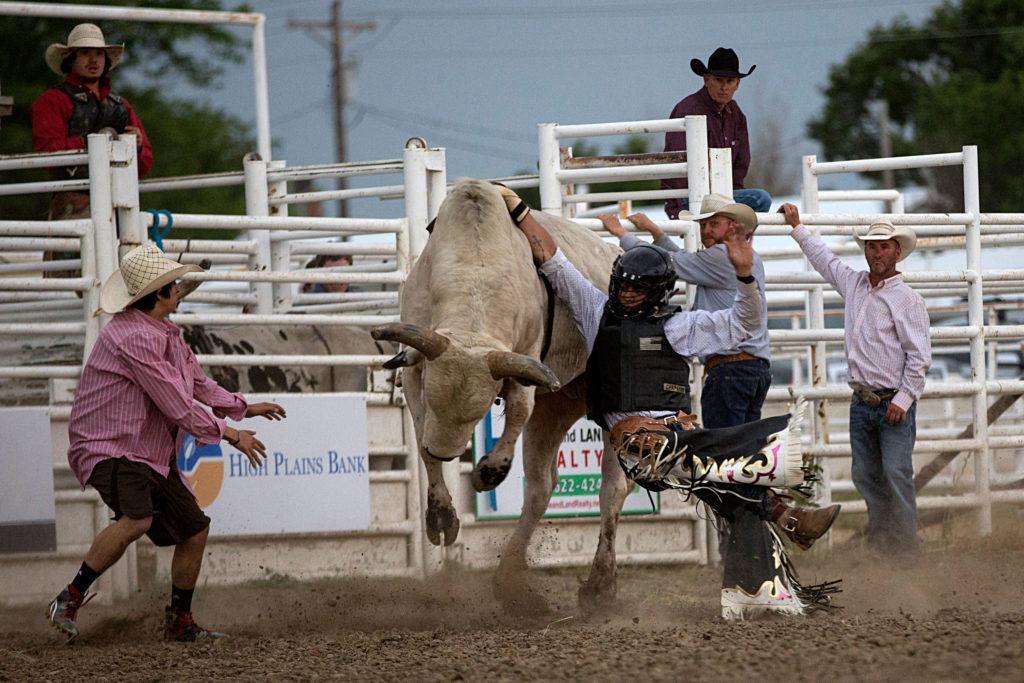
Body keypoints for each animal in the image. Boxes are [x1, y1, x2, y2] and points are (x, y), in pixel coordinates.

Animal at [374, 179, 630, 610]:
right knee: (541, 486)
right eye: (433, 398)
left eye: (475, 414)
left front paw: (490, 470)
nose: (448, 452)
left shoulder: (523, 368)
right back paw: (509, 579)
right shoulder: (415, 372)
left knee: (612, 488)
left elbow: (517, 412)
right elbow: (423, 443)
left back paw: (601, 585)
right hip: (558, 405)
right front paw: (441, 516)